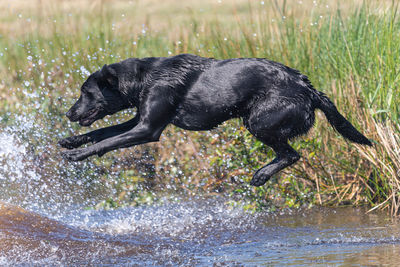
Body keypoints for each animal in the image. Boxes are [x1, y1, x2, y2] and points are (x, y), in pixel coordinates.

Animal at [60, 54, 372, 186]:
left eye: (86, 92)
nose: (69, 113)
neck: (144, 77)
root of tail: (310, 88)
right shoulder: (140, 120)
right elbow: (104, 132)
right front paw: (72, 140)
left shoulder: (148, 129)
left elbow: (108, 141)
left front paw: (78, 155)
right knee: (289, 153)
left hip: (258, 121)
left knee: (292, 154)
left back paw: (261, 175)